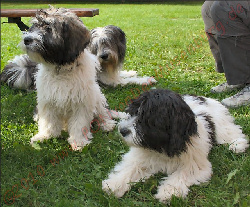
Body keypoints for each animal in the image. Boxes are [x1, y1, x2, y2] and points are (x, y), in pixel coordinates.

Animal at [16, 7, 118, 150]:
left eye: (48, 28)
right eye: (34, 26)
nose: (26, 39)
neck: (61, 69)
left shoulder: (82, 101)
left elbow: (79, 123)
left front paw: (78, 141)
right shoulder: (48, 99)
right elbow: (48, 121)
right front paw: (45, 136)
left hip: (97, 97)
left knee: (102, 112)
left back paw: (106, 124)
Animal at [102, 88, 248, 202]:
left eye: (146, 120)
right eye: (133, 112)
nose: (122, 130)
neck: (161, 146)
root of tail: (203, 98)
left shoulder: (195, 163)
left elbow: (183, 173)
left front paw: (168, 191)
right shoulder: (141, 158)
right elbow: (130, 168)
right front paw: (114, 184)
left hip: (220, 124)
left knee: (232, 131)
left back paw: (238, 144)